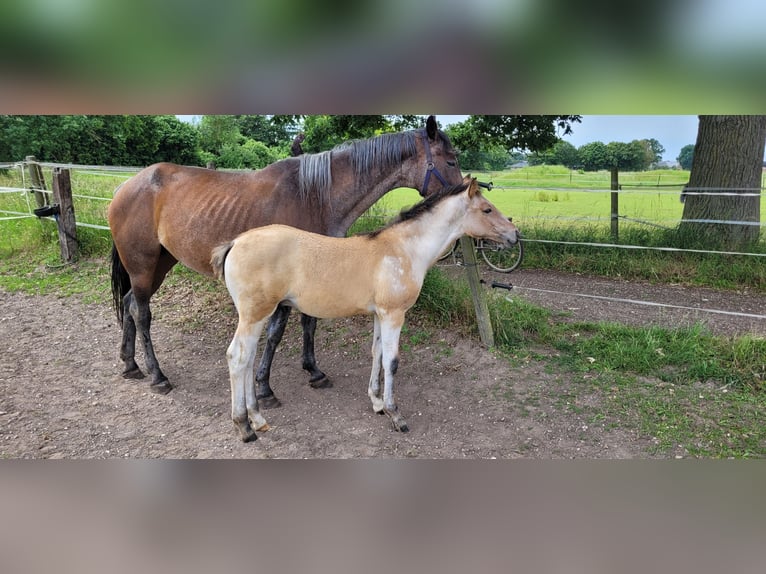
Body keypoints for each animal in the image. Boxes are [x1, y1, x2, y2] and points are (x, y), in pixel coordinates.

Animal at [108, 116, 462, 404]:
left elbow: (310, 322)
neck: (315, 196)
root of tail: (127, 186)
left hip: (159, 264)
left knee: (128, 303)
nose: (463, 198)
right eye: (450, 159)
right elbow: (277, 332)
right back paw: (157, 376)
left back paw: (130, 364)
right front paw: (265, 388)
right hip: (143, 265)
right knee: (141, 312)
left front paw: (314, 371)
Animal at [211, 176, 519, 442]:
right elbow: (391, 361)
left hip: (258, 317)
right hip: (255, 315)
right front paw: (395, 415)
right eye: (487, 209)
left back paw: (258, 418)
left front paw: (377, 402)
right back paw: (244, 426)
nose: (515, 234)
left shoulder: (379, 315)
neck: (403, 250)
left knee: (248, 359)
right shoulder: (394, 314)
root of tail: (235, 242)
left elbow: (377, 353)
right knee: (237, 358)